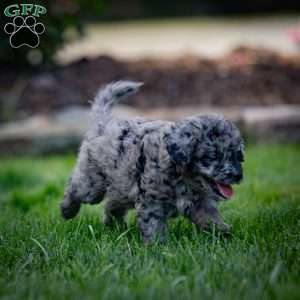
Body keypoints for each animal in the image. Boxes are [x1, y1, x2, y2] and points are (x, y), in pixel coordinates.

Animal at [60, 80, 244, 244]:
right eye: (212, 157)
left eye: (236, 155)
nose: (237, 176)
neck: (184, 177)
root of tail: (103, 123)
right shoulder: (152, 201)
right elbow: (153, 225)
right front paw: (157, 248)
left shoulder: (202, 203)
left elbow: (211, 219)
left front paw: (224, 235)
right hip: (92, 183)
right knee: (75, 187)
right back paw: (67, 210)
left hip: (123, 185)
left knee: (112, 205)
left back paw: (114, 226)